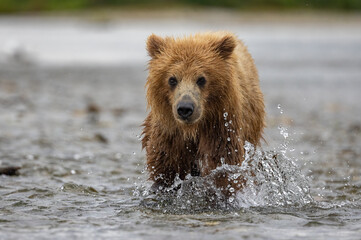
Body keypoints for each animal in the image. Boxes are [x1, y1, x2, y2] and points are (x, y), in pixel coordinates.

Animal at [141, 31, 264, 193]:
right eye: (172, 79)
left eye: (201, 79)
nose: (185, 108)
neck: (192, 130)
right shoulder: (169, 134)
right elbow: (164, 168)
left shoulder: (222, 126)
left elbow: (223, 165)